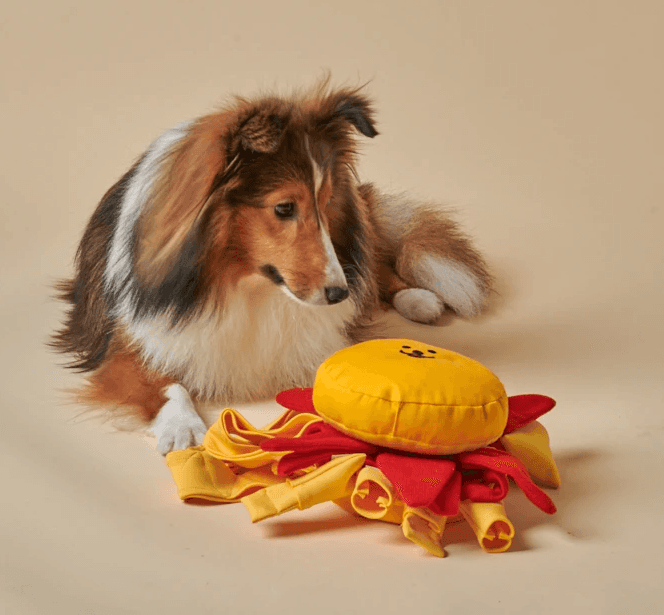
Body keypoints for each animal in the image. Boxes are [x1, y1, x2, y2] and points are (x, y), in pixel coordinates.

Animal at [51, 82, 493, 454]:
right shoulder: (127, 341)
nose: (339, 294)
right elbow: (165, 384)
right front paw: (182, 426)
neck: (243, 285)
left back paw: (417, 298)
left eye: (326, 202)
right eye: (284, 208)